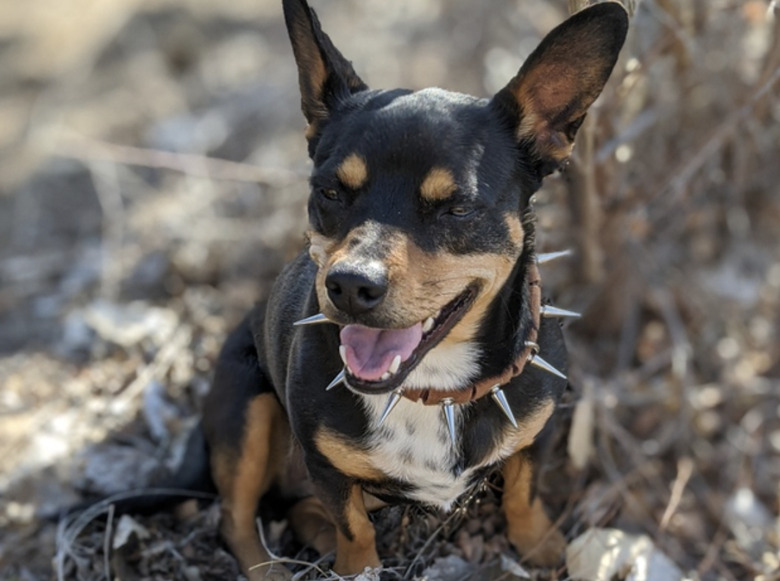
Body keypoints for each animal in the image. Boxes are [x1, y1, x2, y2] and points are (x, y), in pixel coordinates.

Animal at [201, 2, 628, 576]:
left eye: (457, 208)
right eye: (329, 191)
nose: (350, 284)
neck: (432, 386)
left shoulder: (537, 434)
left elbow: (523, 492)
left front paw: (539, 545)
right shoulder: (323, 465)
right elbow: (354, 526)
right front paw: (357, 569)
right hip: (247, 409)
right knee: (238, 518)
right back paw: (272, 567)